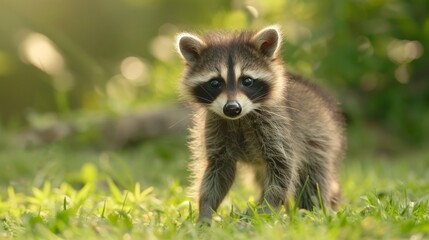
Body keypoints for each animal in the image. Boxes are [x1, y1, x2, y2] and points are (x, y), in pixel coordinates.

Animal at [174, 25, 344, 224]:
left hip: (320, 141)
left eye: (247, 81)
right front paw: (205, 211)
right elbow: (217, 172)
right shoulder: (215, 127)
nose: (232, 108)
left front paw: (266, 211)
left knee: (314, 180)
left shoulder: (277, 126)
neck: (239, 119)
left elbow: (282, 169)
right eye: (215, 83)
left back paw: (311, 210)